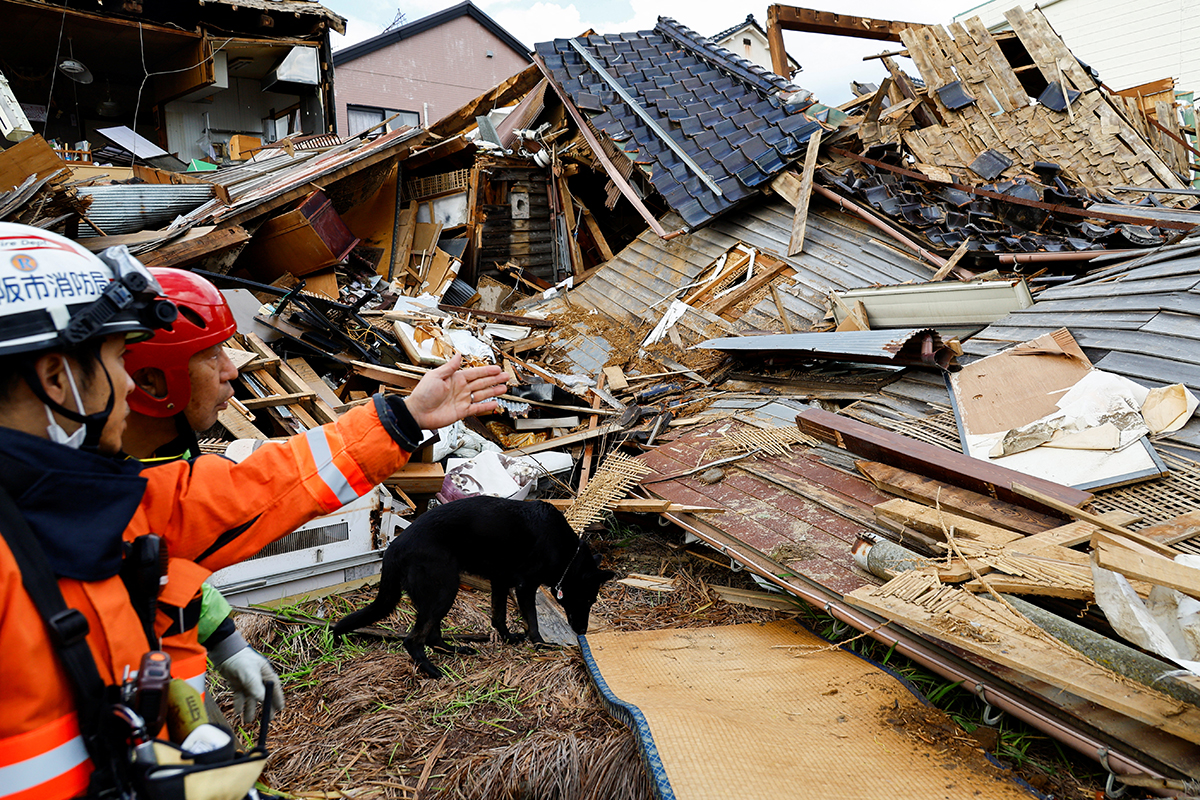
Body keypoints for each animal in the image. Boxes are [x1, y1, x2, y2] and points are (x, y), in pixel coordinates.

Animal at [331, 496, 614, 681]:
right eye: (588, 600)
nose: (582, 631)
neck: (567, 555)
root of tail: (394, 547)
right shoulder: (525, 586)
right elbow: (532, 620)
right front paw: (541, 644)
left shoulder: (501, 582)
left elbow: (498, 617)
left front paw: (509, 638)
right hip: (445, 589)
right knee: (414, 640)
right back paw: (431, 670)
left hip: (439, 593)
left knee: (432, 636)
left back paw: (455, 650)